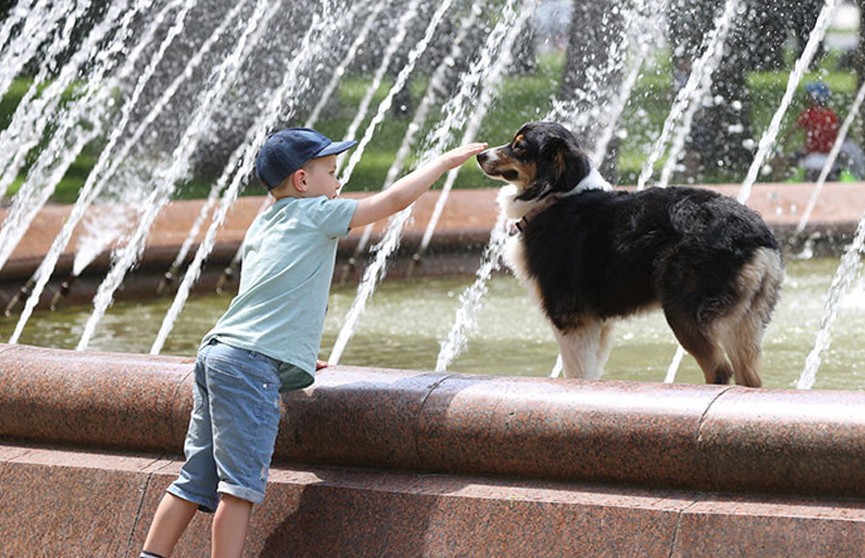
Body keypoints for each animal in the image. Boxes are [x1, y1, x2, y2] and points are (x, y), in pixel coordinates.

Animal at [480, 121, 784, 390]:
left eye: (519, 146)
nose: (481, 154)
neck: (555, 197)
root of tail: (757, 234)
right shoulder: (598, 324)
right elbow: (592, 371)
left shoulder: (570, 318)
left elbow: (577, 373)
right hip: (744, 321)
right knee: (749, 378)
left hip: (682, 308)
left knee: (719, 369)